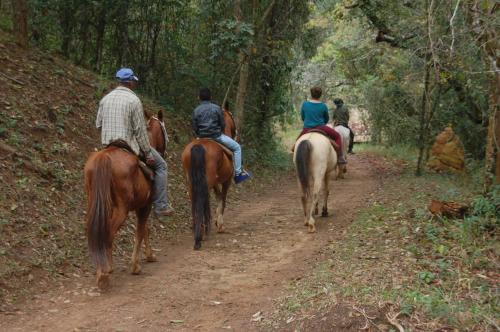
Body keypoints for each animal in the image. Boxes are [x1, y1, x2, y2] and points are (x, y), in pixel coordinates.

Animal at [84, 110, 166, 290]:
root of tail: (105, 157)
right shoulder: (146, 205)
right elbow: (141, 230)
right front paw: (135, 266)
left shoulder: (141, 206)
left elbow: (145, 229)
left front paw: (150, 255)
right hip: (121, 209)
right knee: (108, 232)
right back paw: (105, 272)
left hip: (95, 203)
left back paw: (103, 268)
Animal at [182, 110, 236, 250]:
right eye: (231, 118)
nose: (236, 132)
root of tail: (198, 146)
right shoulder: (226, 181)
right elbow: (223, 199)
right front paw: (220, 224)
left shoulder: (216, 183)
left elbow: (218, 197)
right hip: (208, 181)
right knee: (203, 200)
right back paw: (202, 233)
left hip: (192, 182)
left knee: (195, 201)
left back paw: (198, 229)